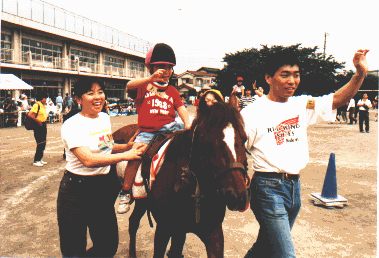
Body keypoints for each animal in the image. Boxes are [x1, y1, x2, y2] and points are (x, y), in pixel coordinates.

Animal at [112, 95, 249, 256]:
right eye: (209, 142)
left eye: (244, 139)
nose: (237, 196)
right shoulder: (164, 229)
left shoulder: (212, 232)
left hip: (143, 201)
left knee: (133, 221)